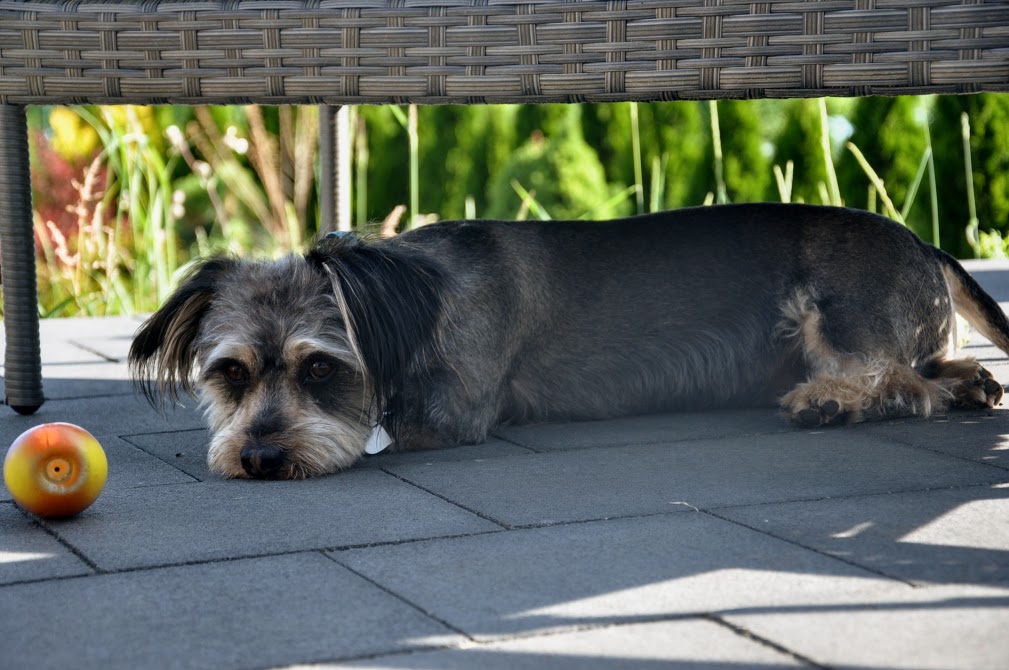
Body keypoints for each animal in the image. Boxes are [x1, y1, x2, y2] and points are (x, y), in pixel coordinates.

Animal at [129, 203, 1009, 480]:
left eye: (319, 368)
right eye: (230, 374)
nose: (257, 458)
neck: (412, 301)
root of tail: (925, 244)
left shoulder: (454, 417)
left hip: (835, 316)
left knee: (900, 382)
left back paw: (829, 403)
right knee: (937, 369)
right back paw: (973, 384)